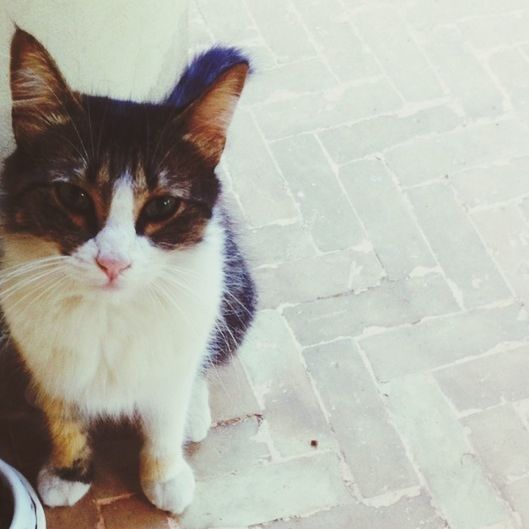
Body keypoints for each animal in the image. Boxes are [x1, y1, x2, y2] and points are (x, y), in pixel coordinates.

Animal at [0, 27, 256, 512]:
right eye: (74, 196)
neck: (108, 313)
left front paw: (165, 476)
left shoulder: (177, 345)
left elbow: (164, 419)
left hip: (235, 294)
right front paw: (67, 472)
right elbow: (64, 414)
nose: (112, 261)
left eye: (162, 205)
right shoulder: (50, 357)